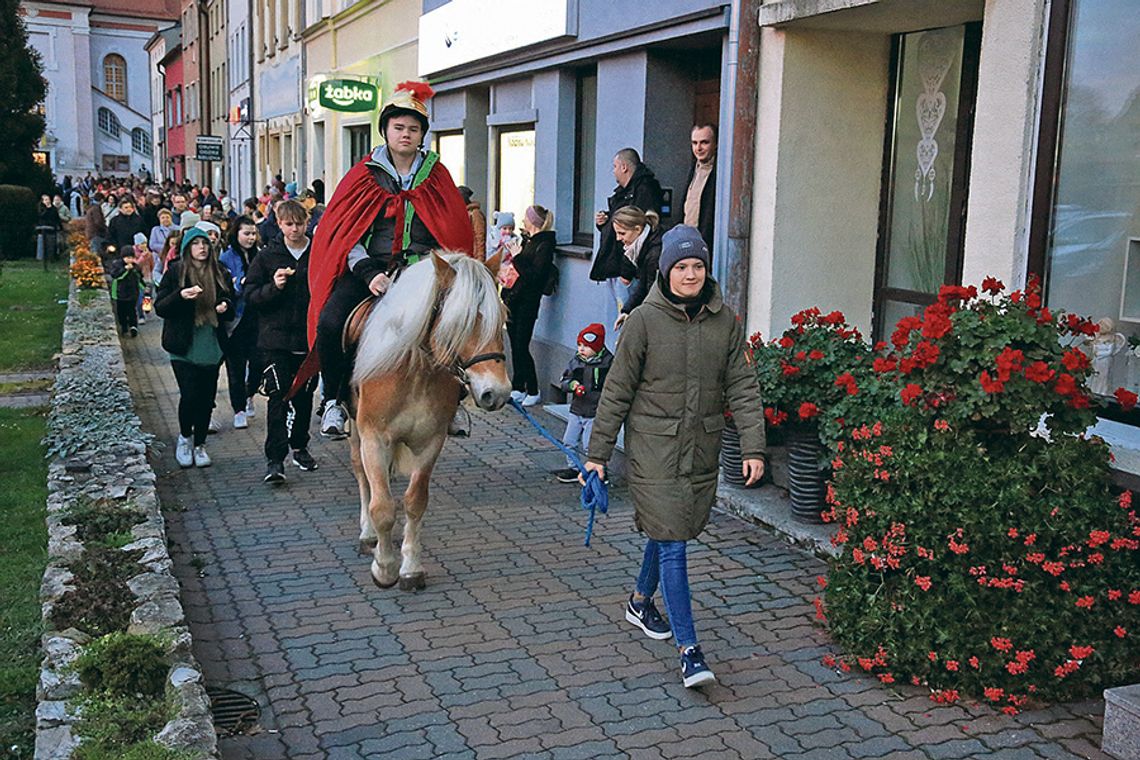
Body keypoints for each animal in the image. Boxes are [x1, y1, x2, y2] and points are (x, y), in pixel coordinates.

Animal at [344, 249, 510, 587]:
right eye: (460, 322)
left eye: (502, 316)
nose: (496, 393)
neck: (415, 373)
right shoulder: (374, 438)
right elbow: (383, 506)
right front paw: (384, 568)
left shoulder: (430, 442)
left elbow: (414, 501)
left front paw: (410, 566)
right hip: (355, 427)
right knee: (361, 474)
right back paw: (368, 534)